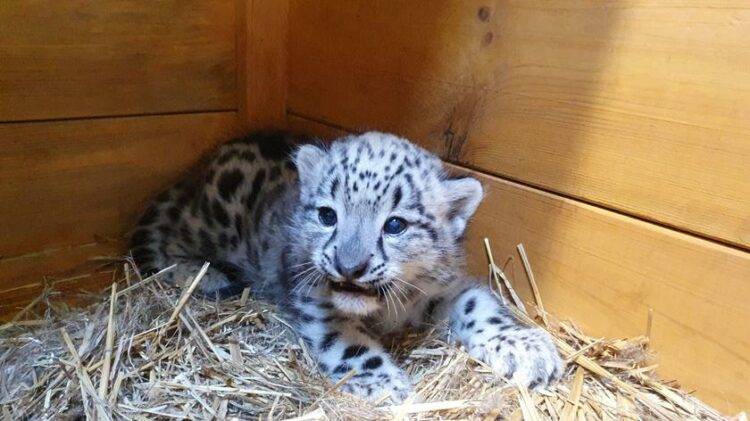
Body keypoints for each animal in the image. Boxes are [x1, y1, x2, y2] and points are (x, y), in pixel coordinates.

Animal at [129, 131, 563, 403]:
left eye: (394, 225)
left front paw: (529, 349)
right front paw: (385, 384)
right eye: (327, 215)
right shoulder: (318, 302)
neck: (387, 310)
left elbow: (479, 306)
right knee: (167, 235)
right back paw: (200, 275)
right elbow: (352, 346)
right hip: (212, 220)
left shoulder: (446, 287)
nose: (349, 266)